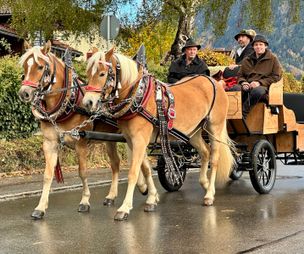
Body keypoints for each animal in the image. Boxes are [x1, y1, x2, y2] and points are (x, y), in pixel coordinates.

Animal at [17, 40, 150, 219]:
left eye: (40, 67)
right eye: (25, 66)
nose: (24, 93)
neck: (67, 102)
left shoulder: (81, 143)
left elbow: (83, 172)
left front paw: (85, 201)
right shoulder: (49, 143)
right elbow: (47, 175)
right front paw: (40, 207)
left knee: (141, 160)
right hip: (111, 139)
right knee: (116, 164)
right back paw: (112, 195)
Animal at [81, 47, 235, 220]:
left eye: (102, 74)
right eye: (88, 72)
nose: (88, 102)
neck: (137, 95)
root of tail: (213, 81)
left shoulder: (139, 139)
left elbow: (133, 172)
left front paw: (124, 208)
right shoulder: (132, 140)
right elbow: (146, 168)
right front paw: (151, 198)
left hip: (215, 127)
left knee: (214, 159)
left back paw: (209, 195)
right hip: (193, 132)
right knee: (205, 153)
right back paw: (206, 184)